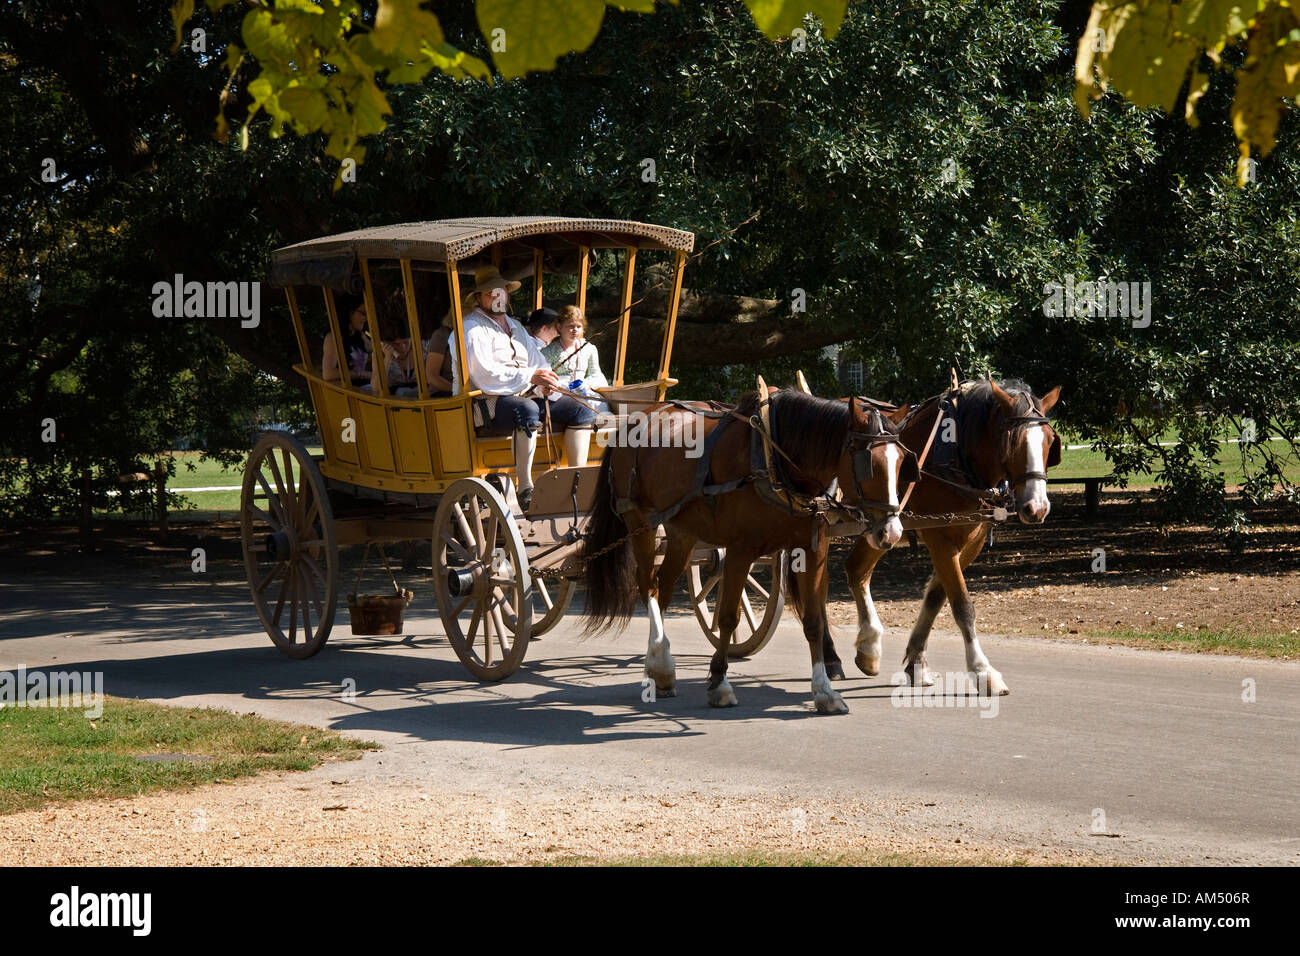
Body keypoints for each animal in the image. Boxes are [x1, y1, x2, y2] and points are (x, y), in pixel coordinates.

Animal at [583, 389, 914, 713]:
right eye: (868, 464)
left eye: (901, 462)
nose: (891, 533)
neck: (775, 458)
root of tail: (639, 417)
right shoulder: (740, 550)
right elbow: (729, 617)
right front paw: (719, 683)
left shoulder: (813, 546)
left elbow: (814, 621)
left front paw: (824, 690)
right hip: (640, 522)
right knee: (647, 585)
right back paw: (660, 660)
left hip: (681, 531)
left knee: (663, 586)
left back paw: (660, 667)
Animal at [838, 378, 1062, 696]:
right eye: (1012, 441)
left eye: (1049, 441)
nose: (1037, 507)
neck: (955, 454)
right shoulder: (939, 538)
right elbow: (962, 605)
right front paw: (983, 671)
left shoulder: (971, 540)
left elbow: (936, 597)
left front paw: (916, 662)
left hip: (879, 527)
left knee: (856, 570)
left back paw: (867, 648)